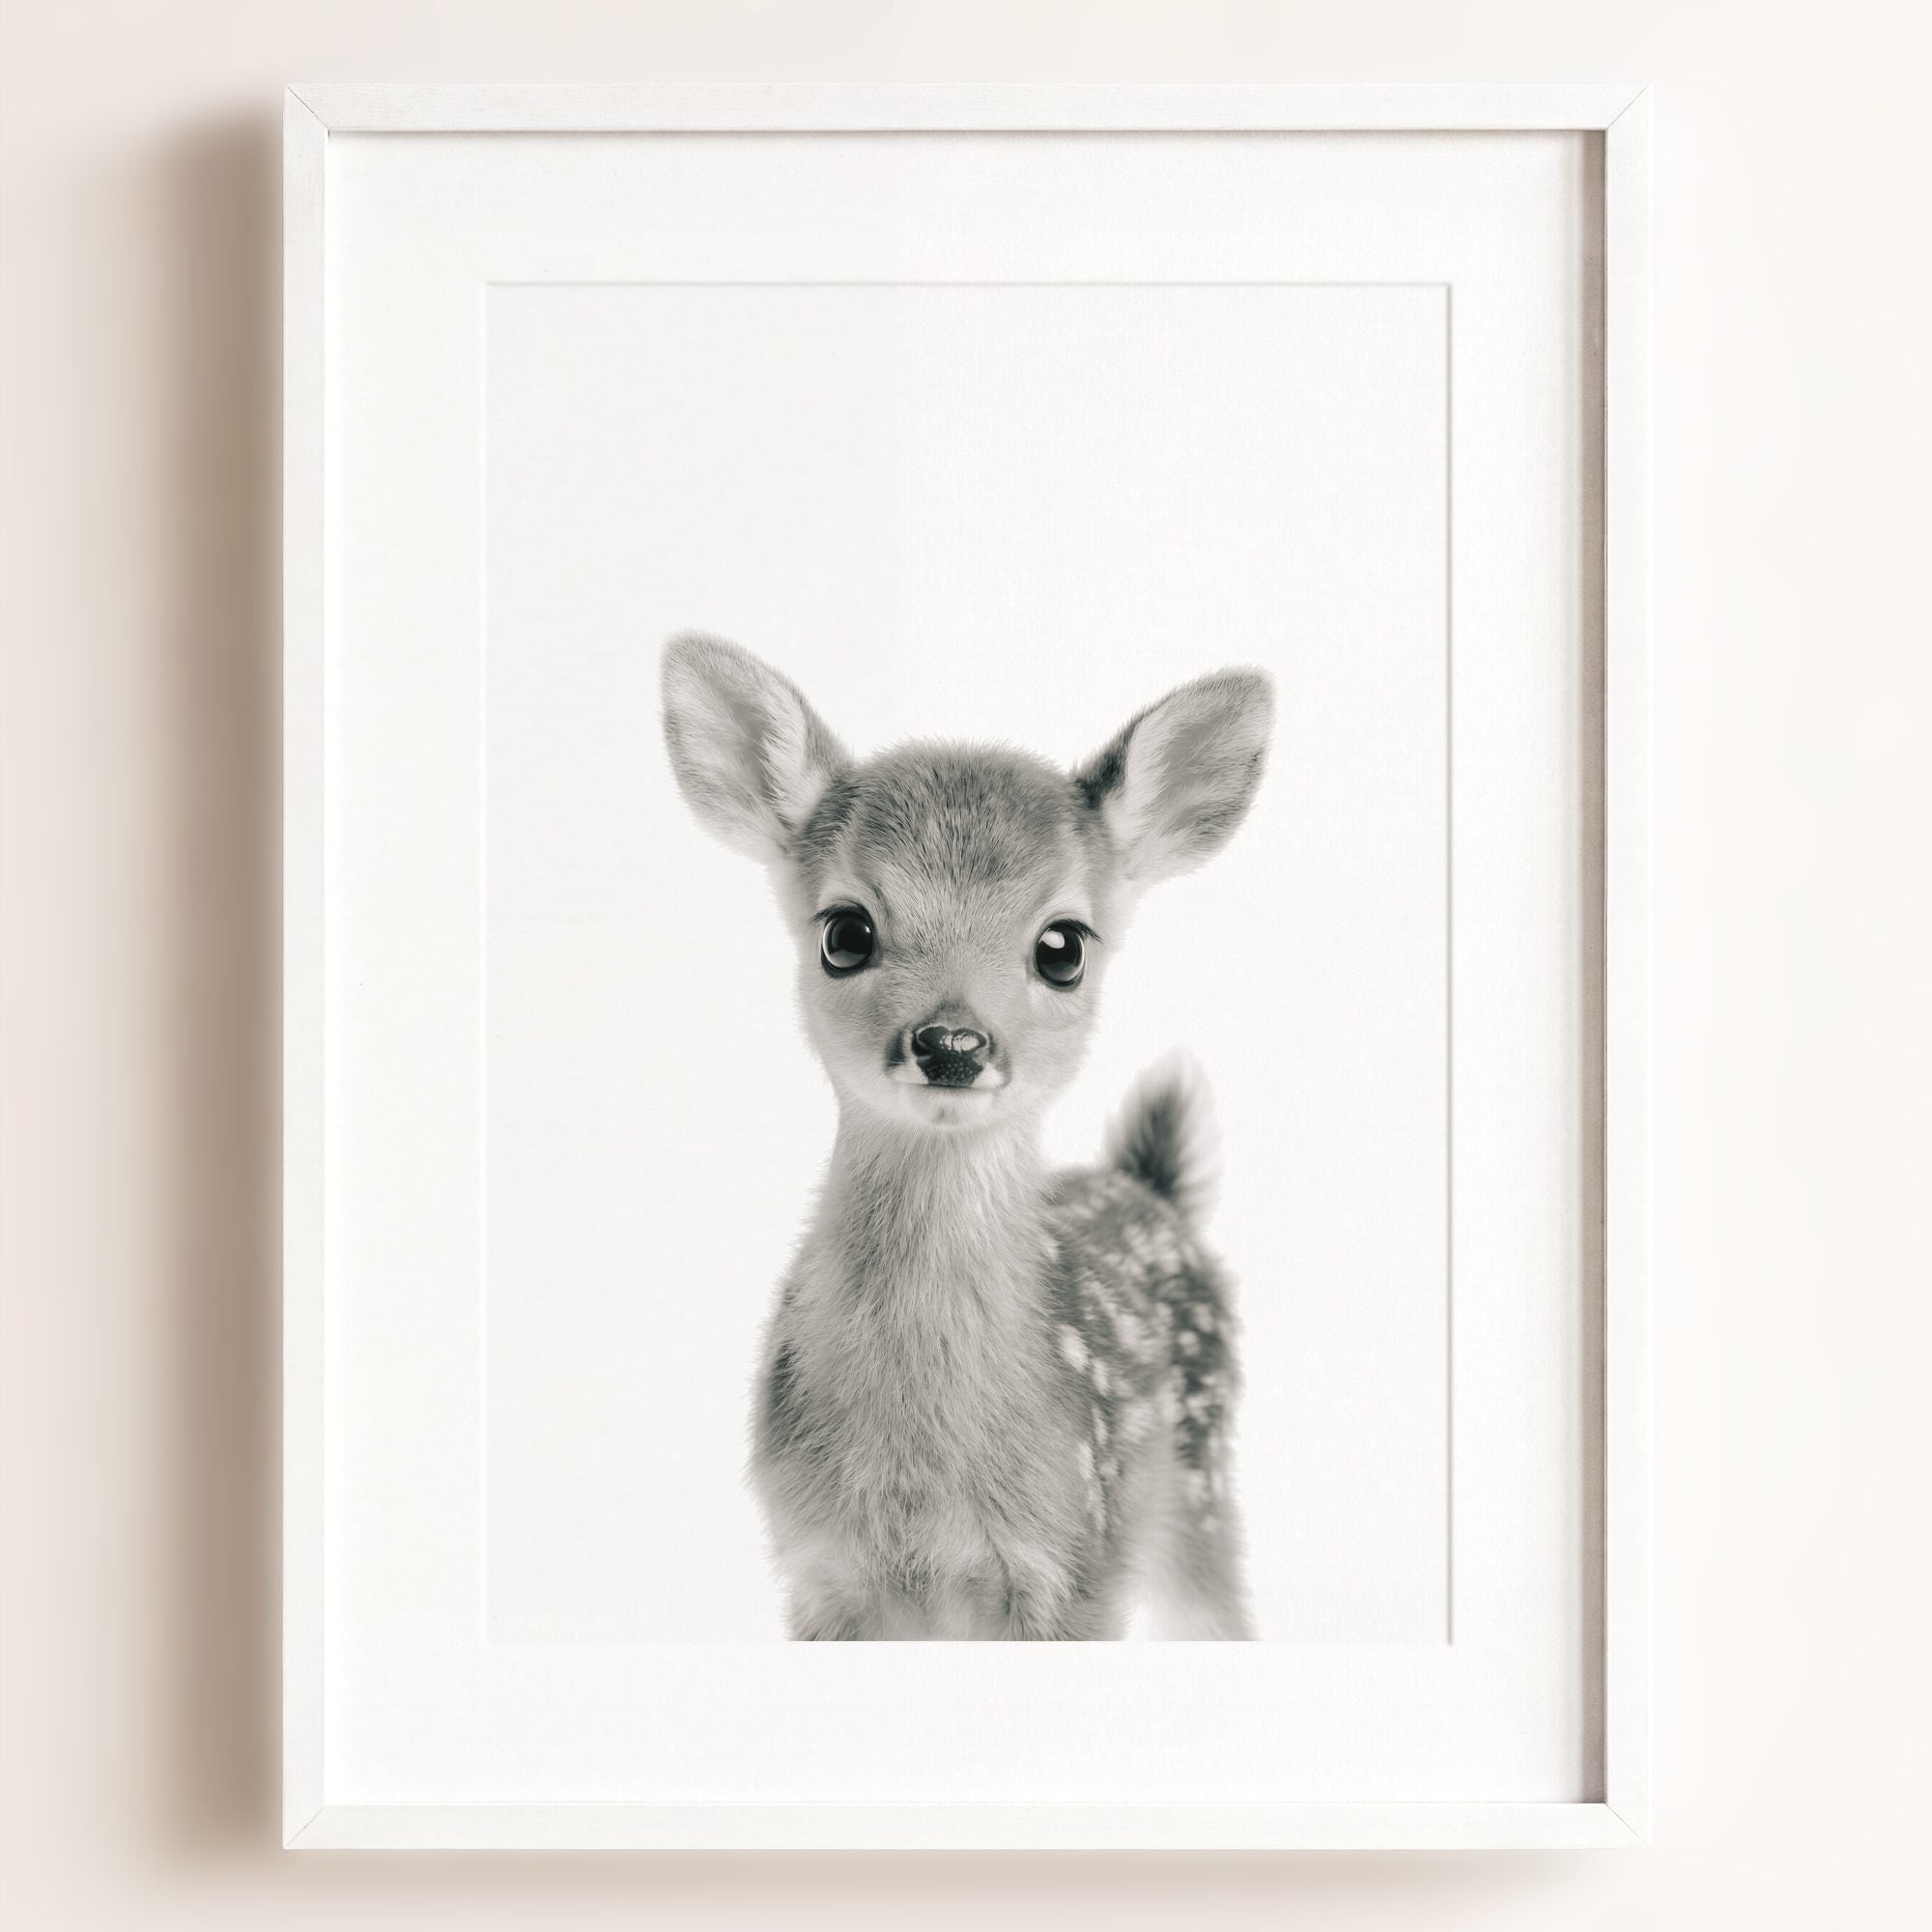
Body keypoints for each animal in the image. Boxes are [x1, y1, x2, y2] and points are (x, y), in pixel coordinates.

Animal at [661, 634, 1273, 1639]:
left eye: (1063, 946)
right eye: (845, 931)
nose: (952, 1044)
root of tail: (1151, 1188)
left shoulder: (1077, 1563)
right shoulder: (819, 1571)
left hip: (1201, 1489)